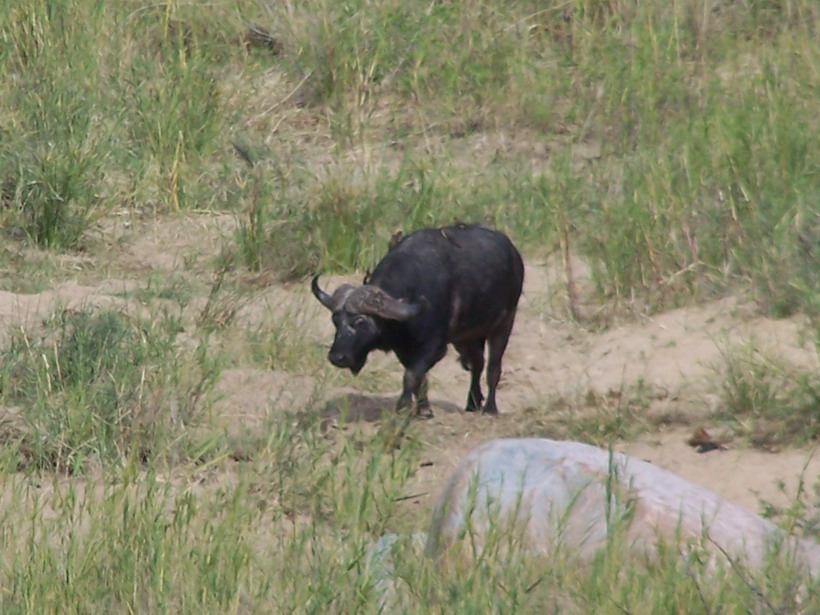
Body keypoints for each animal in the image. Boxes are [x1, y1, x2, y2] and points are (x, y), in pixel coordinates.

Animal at [310, 224, 524, 416]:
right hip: (466, 337)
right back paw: (472, 403)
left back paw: (490, 408)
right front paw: (424, 409)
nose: (337, 357)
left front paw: (403, 406)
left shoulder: (435, 347)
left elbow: (412, 375)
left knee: (492, 368)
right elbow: (420, 379)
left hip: (504, 324)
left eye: (360, 322)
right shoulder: (403, 348)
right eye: (335, 321)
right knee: (477, 363)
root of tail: (514, 255)